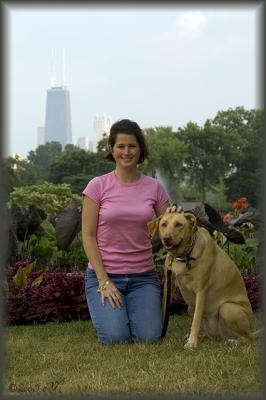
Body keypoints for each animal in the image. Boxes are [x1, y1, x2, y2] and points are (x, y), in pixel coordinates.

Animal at [149, 212, 260, 346]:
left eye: (179, 224)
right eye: (163, 224)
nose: (166, 238)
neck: (184, 256)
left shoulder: (201, 290)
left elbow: (196, 321)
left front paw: (192, 343)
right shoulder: (169, 286)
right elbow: (164, 311)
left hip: (227, 308)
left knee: (245, 337)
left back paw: (233, 341)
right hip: (190, 307)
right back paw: (202, 337)